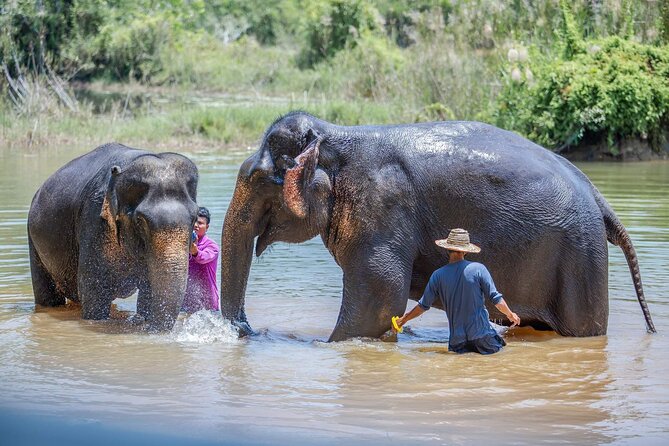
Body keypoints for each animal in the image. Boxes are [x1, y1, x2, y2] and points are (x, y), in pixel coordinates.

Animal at [28, 143, 198, 332]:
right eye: (141, 221)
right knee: (48, 295)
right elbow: (93, 290)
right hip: (33, 239)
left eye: (195, 218)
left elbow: (148, 289)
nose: (149, 329)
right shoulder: (94, 220)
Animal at [218, 112, 652, 342]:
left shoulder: (383, 205)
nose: (249, 329)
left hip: (581, 257)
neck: (337, 135)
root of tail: (596, 195)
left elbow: (379, 298)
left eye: (259, 180)